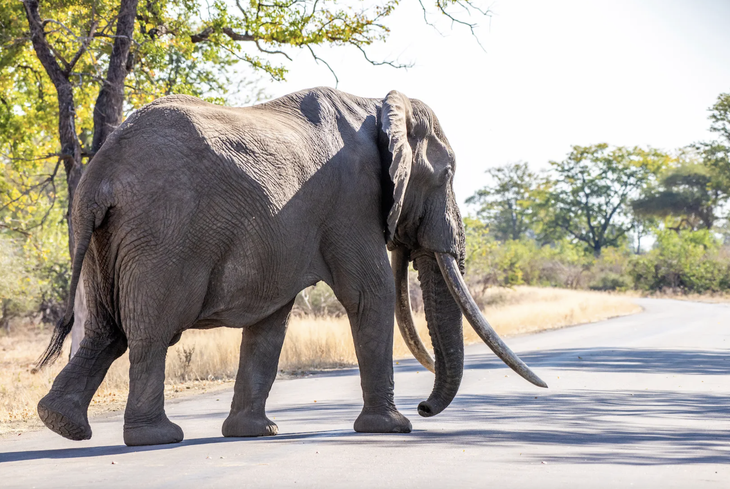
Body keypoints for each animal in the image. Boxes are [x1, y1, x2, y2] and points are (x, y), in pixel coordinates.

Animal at [37, 86, 544, 446]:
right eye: (447, 175)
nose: (423, 407)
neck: (379, 105)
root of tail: (101, 170)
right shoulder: (350, 199)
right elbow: (370, 292)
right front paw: (392, 428)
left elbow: (271, 320)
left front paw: (256, 434)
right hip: (163, 232)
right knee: (150, 331)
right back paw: (156, 438)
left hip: (103, 236)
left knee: (105, 330)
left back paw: (61, 424)